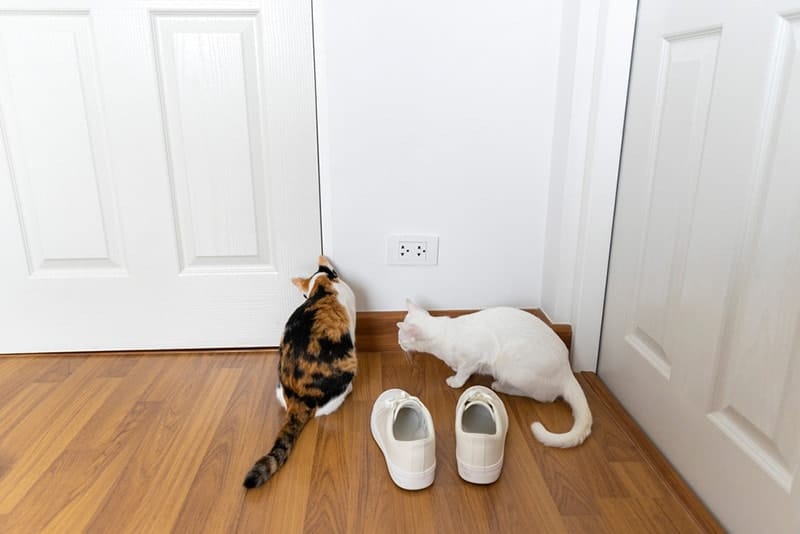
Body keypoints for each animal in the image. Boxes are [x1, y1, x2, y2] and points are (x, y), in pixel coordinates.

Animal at [242, 256, 358, 490]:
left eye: (304, 295)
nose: (305, 297)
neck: (323, 288)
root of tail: (298, 397)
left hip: (278, 385)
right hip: (348, 366)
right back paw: (349, 389)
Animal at [396, 302, 592, 448]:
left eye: (401, 338)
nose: (398, 343)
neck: (444, 335)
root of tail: (567, 369)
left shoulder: (474, 357)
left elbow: (464, 371)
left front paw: (456, 380)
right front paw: (454, 368)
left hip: (510, 366)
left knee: (544, 397)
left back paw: (499, 385)